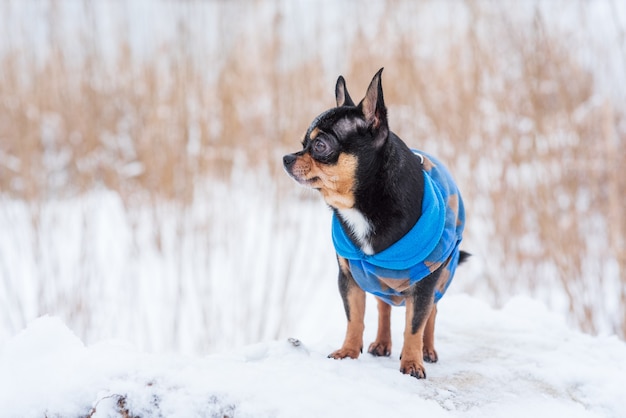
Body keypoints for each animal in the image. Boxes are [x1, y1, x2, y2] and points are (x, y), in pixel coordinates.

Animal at [280, 69, 466, 378]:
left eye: (319, 146)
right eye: (302, 143)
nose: (285, 158)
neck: (361, 205)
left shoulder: (424, 284)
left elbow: (414, 324)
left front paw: (412, 363)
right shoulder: (348, 278)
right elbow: (355, 318)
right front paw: (348, 352)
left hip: (441, 276)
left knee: (431, 313)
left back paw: (427, 350)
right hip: (381, 281)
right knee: (384, 306)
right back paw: (381, 343)